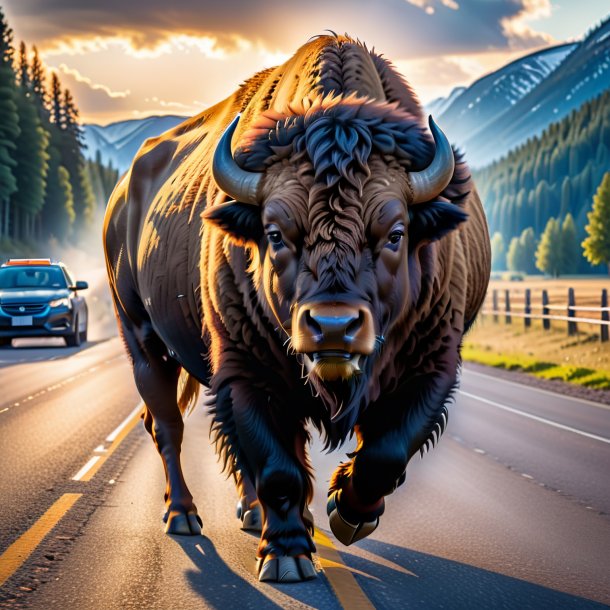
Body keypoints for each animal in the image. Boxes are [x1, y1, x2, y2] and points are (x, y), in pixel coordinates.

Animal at [103, 32, 490, 580]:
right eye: (274, 233)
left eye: (396, 233)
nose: (333, 327)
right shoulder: (248, 369)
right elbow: (277, 467)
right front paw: (287, 554)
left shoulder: (431, 366)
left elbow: (385, 454)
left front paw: (345, 513)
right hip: (142, 339)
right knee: (167, 427)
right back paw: (183, 515)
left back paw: (251, 513)